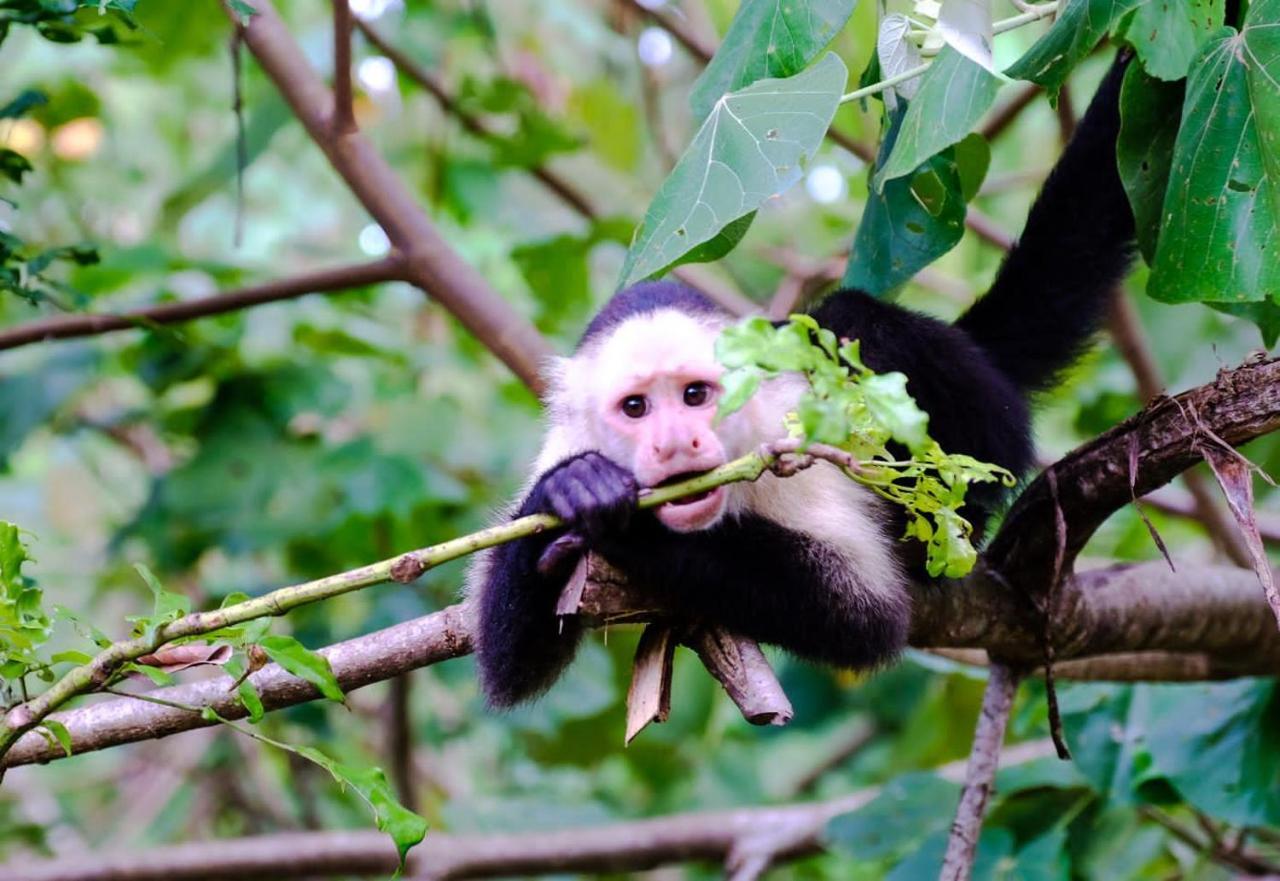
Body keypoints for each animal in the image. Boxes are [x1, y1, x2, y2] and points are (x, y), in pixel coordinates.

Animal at [465, 55, 1136, 706]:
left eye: (694, 396)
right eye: (635, 408)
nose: (674, 442)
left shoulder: (788, 436)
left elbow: (865, 616)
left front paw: (635, 529)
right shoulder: (567, 439)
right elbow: (509, 668)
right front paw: (569, 491)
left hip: (984, 430)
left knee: (857, 323)